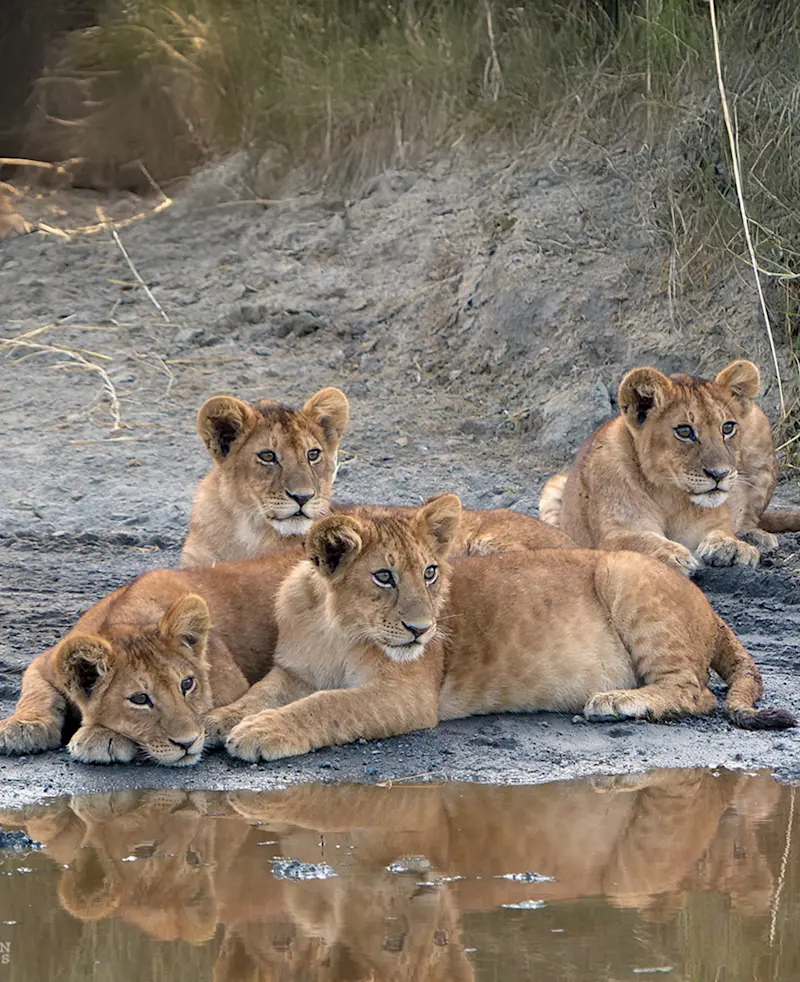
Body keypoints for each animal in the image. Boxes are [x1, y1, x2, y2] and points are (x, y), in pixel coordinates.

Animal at [0, 548, 300, 765]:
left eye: (187, 684)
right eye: (140, 699)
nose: (187, 743)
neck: (129, 619)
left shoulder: (232, 687)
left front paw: (101, 736)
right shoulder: (45, 662)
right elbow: (37, 693)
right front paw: (21, 727)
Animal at [206, 494, 794, 762]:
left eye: (430, 571)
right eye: (383, 576)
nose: (422, 630)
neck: (337, 626)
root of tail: (713, 610)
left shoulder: (404, 694)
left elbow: (326, 705)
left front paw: (261, 732)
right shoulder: (293, 672)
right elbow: (260, 693)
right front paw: (216, 720)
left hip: (624, 571)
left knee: (695, 691)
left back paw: (619, 702)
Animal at [538, 360, 800, 575]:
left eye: (727, 428)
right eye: (684, 431)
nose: (719, 474)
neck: (670, 494)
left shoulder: (709, 524)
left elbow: (722, 530)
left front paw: (732, 547)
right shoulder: (616, 533)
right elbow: (639, 541)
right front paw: (672, 555)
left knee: (752, 519)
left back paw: (754, 538)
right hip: (554, 487)